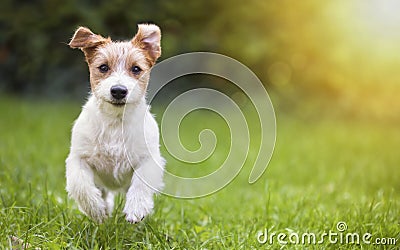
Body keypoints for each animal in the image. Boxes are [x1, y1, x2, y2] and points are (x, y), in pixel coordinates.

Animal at [65, 24, 164, 224]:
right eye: (103, 67)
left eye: (136, 69)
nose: (118, 91)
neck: (115, 122)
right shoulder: (78, 158)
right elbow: (81, 186)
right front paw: (96, 210)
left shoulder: (148, 159)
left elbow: (141, 183)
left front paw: (136, 208)